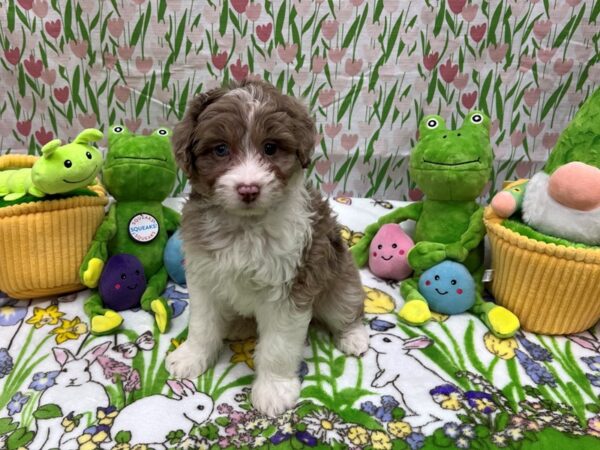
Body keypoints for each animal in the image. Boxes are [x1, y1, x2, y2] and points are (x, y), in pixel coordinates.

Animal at [166, 80, 368, 414]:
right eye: (221, 149)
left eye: (270, 148)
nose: (248, 189)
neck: (245, 228)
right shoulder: (204, 275)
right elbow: (202, 325)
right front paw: (191, 356)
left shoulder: (292, 286)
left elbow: (277, 347)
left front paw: (273, 389)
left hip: (339, 280)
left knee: (346, 307)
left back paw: (354, 336)